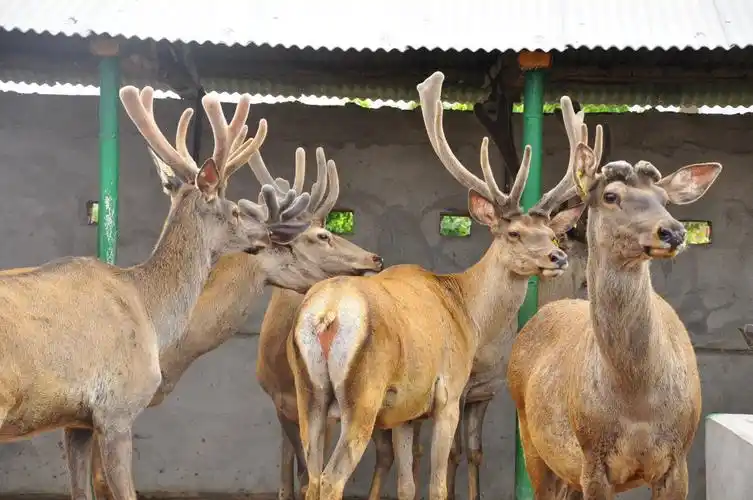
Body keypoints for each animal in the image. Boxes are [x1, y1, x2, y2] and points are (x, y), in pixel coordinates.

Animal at [285, 70, 586, 500]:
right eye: (513, 233)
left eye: (550, 234)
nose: (557, 257)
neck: (467, 312)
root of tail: (325, 315)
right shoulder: (448, 394)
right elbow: (438, 485)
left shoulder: (406, 410)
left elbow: (407, 485)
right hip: (363, 394)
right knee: (330, 478)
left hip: (308, 391)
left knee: (311, 476)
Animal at [506, 109, 722, 498]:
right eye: (610, 195)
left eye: (664, 199)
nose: (673, 231)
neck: (638, 405)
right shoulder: (592, 460)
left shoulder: (679, 459)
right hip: (532, 442)